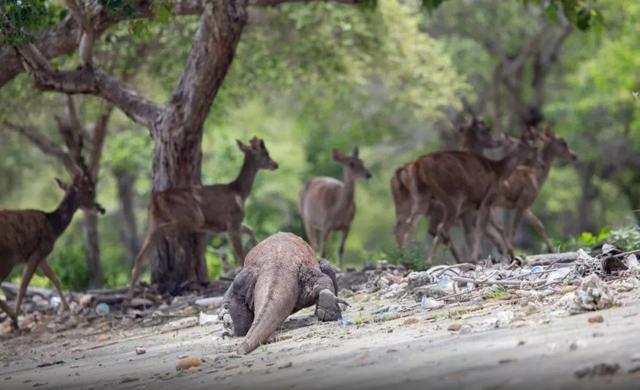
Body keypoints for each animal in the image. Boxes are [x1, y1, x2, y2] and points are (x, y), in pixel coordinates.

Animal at [0, 172, 104, 328]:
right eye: (90, 190)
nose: (101, 208)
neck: (53, 227)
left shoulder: (41, 256)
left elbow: (55, 278)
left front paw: (67, 308)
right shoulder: (38, 252)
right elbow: (23, 285)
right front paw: (15, 319)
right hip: (7, 258)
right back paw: (12, 316)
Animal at [129, 137, 278, 302]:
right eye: (266, 153)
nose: (275, 164)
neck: (239, 192)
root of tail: (156, 197)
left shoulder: (227, 226)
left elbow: (250, 229)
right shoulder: (232, 221)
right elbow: (240, 253)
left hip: (154, 219)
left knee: (140, 256)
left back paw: (128, 298)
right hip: (193, 216)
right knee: (165, 231)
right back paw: (179, 253)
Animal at [402, 129, 536, 264]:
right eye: (528, 145)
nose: (535, 152)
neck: (499, 171)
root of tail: (419, 165)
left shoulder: (472, 206)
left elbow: (484, 230)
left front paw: (506, 253)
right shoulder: (488, 200)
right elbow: (481, 230)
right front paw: (476, 257)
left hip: (423, 197)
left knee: (411, 223)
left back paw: (405, 254)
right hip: (452, 197)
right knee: (440, 228)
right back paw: (428, 261)